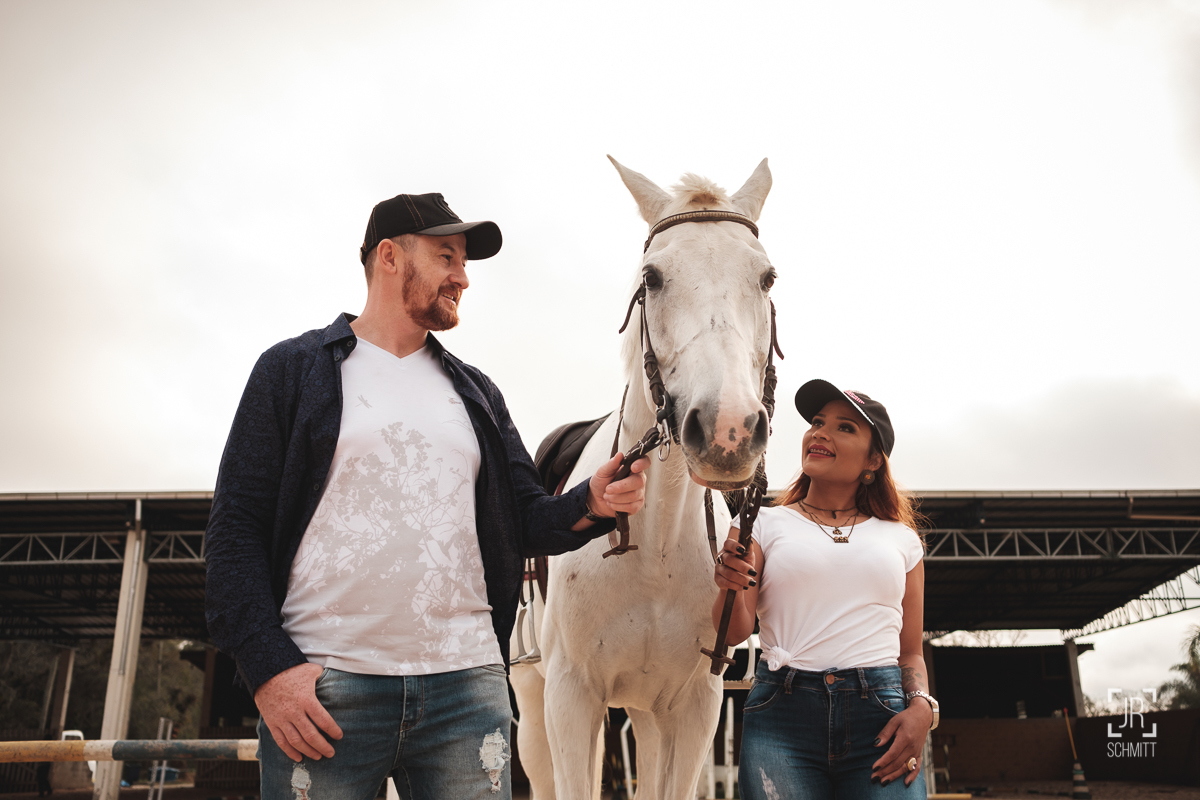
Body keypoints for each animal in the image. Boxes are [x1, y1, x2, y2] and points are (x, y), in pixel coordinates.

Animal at [509, 156, 778, 800]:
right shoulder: (570, 699)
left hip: (647, 716)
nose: (729, 430)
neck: (652, 548)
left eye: (766, 278)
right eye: (652, 278)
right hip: (534, 710)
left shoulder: (694, 706)